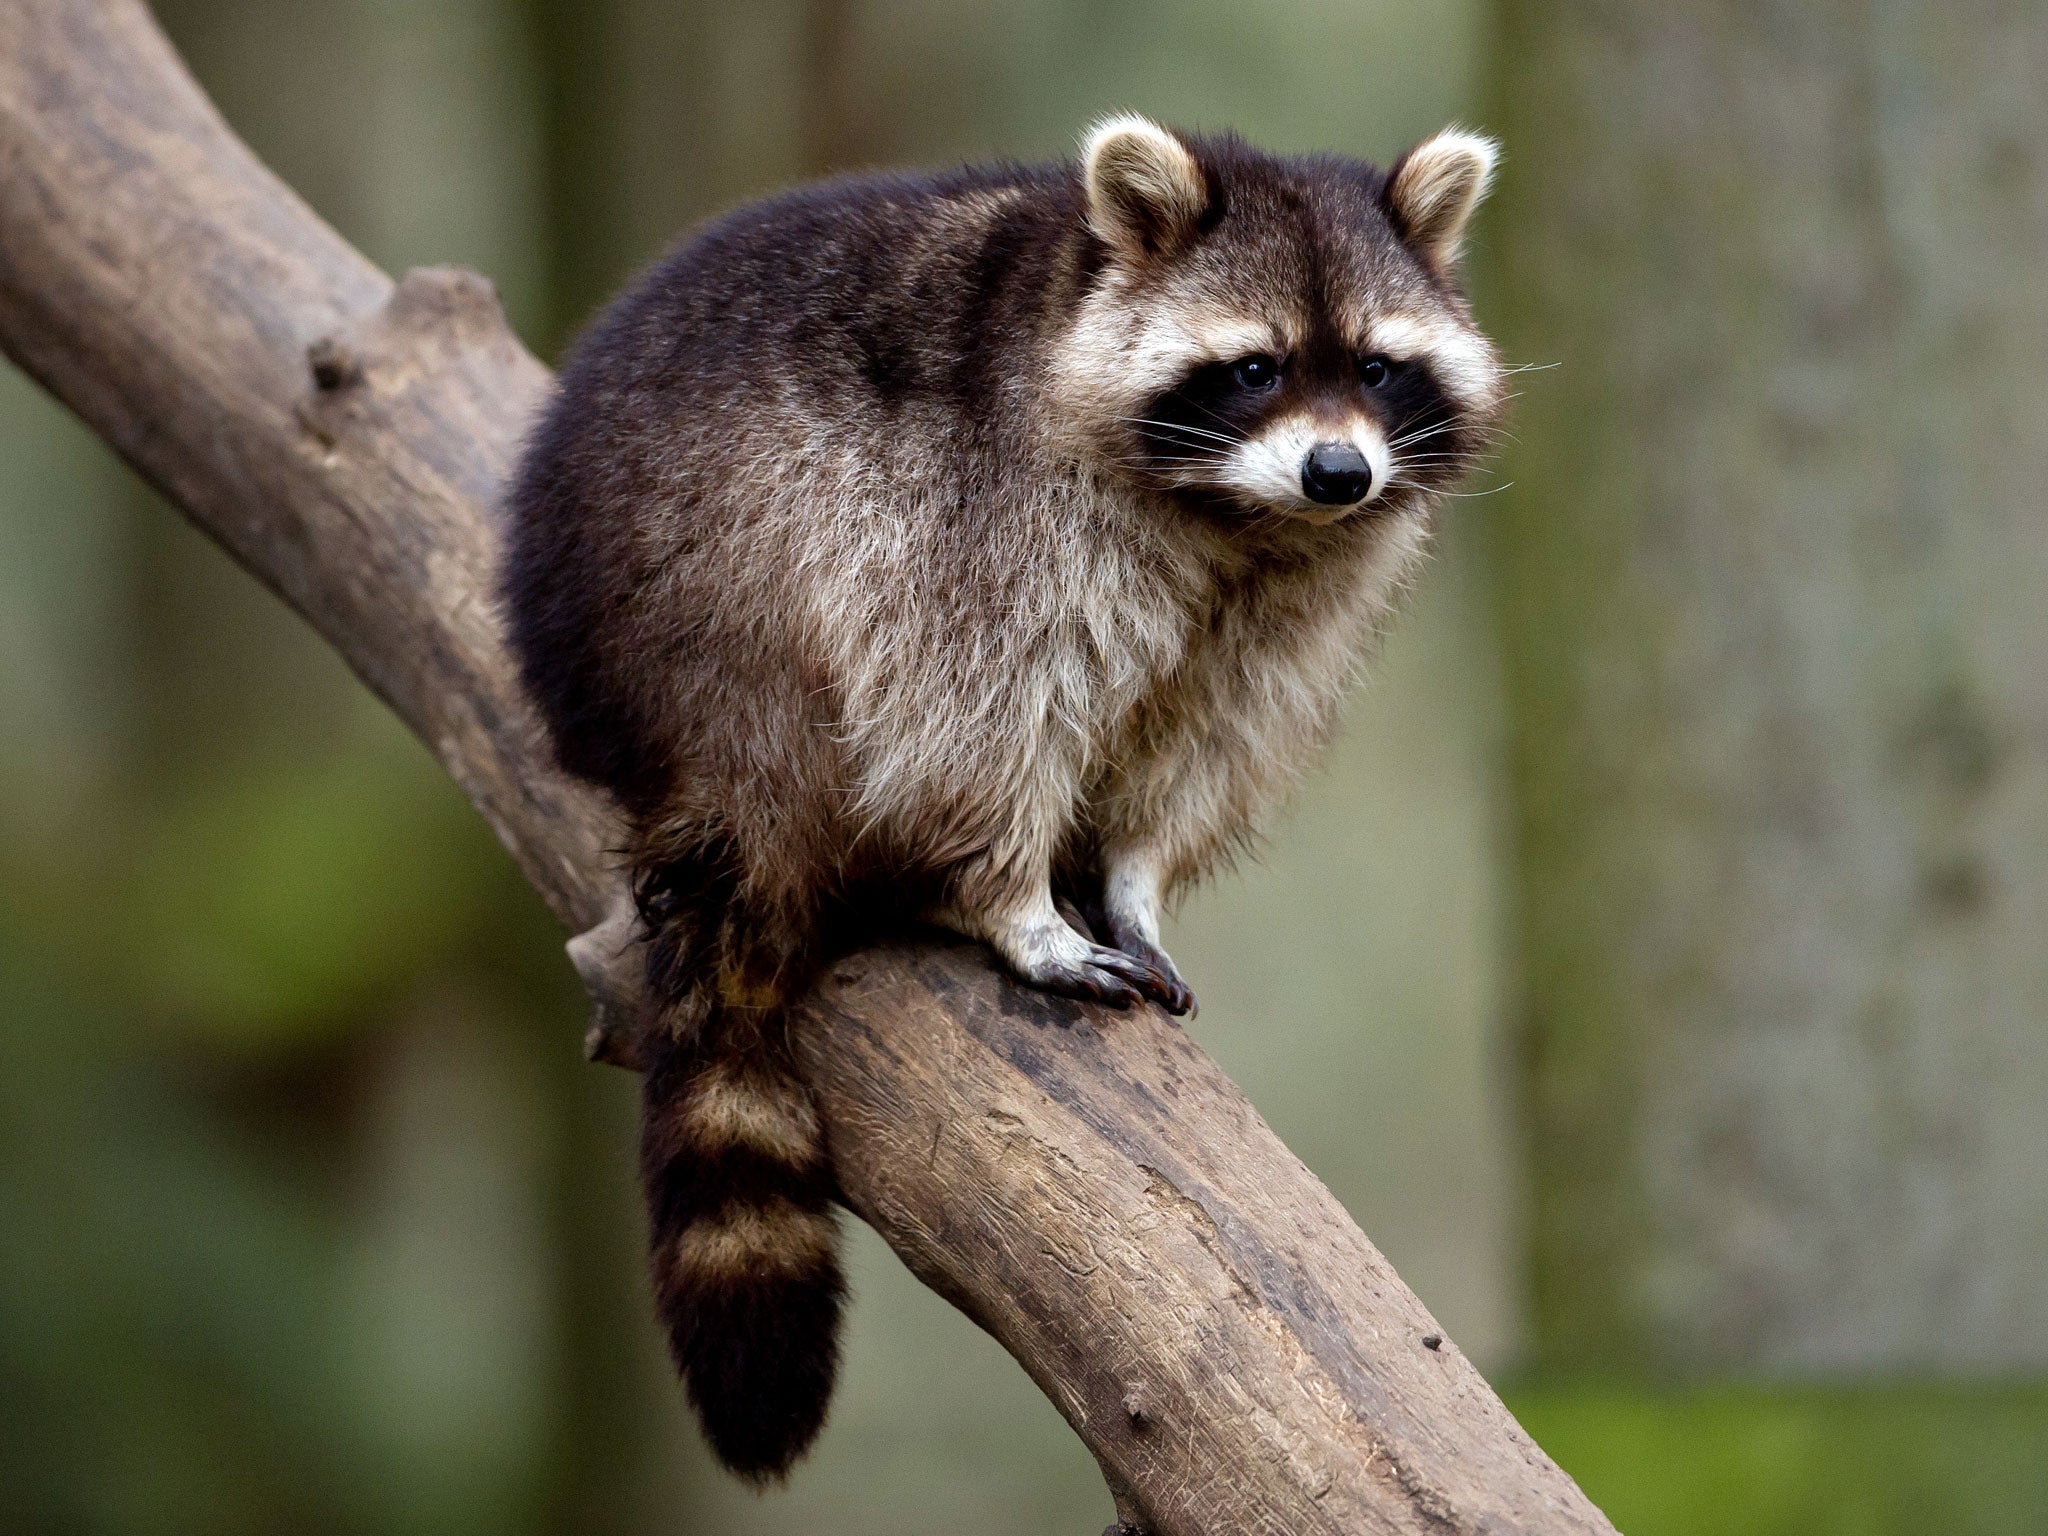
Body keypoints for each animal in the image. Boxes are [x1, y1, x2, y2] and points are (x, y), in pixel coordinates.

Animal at [507, 114, 1507, 1482]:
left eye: (1374, 365)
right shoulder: (993, 513)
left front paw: (1133, 876)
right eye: (1252, 369)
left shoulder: (1285, 601)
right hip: (714, 585)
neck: (1238, 515)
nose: (1336, 471)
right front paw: (1012, 899)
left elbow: (1196, 740)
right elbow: (972, 713)